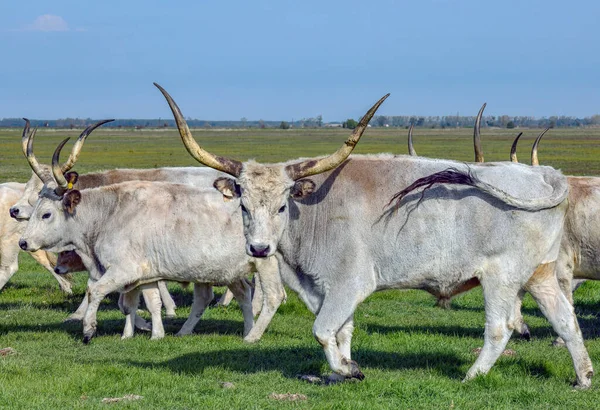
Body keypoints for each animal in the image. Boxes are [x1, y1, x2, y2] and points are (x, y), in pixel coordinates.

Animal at [156, 84, 596, 388]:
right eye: (244, 206)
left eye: (282, 206)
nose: (259, 248)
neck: (314, 210)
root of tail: (546, 175)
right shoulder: (329, 289)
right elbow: (340, 330)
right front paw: (341, 370)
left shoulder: (350, 282)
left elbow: (322, 329)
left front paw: (347, 368)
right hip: (541, 275)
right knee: (566, 321)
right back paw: (584, 378)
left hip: (500, 279)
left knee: (501, 328)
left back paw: (471, 376)